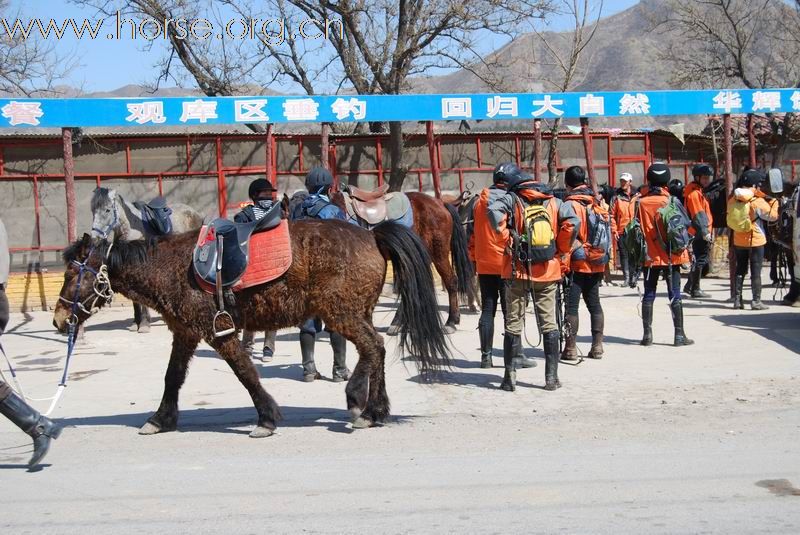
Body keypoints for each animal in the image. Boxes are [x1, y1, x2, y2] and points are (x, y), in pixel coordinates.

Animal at [54, 220, 454, 438]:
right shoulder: (186, 333)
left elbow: (245, 373)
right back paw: (375, 409)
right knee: (376, 350)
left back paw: (361, 404)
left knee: (372, 347)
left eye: (73, 274)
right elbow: (173, 377)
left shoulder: (219, 332)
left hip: (343, 313)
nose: (59, 319)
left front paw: (266, 417)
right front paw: (160, 419)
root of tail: (372, 236)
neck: (169, 266)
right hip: (358, 312)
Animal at [89, 187, 205, 330]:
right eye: (93, 211)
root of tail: (196, 214)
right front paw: (136, 322)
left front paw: (144, 324)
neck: (130, 229)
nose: (95, 238)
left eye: (107, 210)